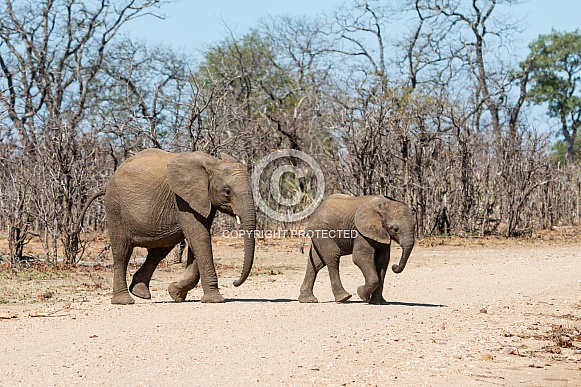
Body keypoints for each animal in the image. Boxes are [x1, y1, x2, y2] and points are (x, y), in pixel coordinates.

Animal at [99, 150, 254, 304]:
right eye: (227, 191)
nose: (234, 282)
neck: (213, 163)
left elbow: (197, 240)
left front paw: (175, 293)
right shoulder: (182, 199)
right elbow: (199, 237)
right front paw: (215, 300)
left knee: (158, 251)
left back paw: (140, 293)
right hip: (115, 207)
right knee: (122, 252)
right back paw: (124, 301)